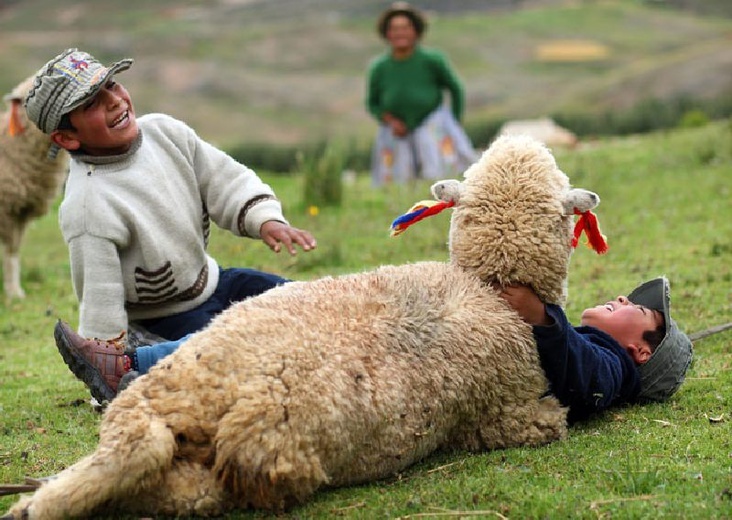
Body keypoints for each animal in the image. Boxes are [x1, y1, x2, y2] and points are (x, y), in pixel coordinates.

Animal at [2, 135, 604, 520]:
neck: (488, 286)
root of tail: (195, 401)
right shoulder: (513, 414)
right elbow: (551, 418)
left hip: (178, 457)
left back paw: (37, 501)